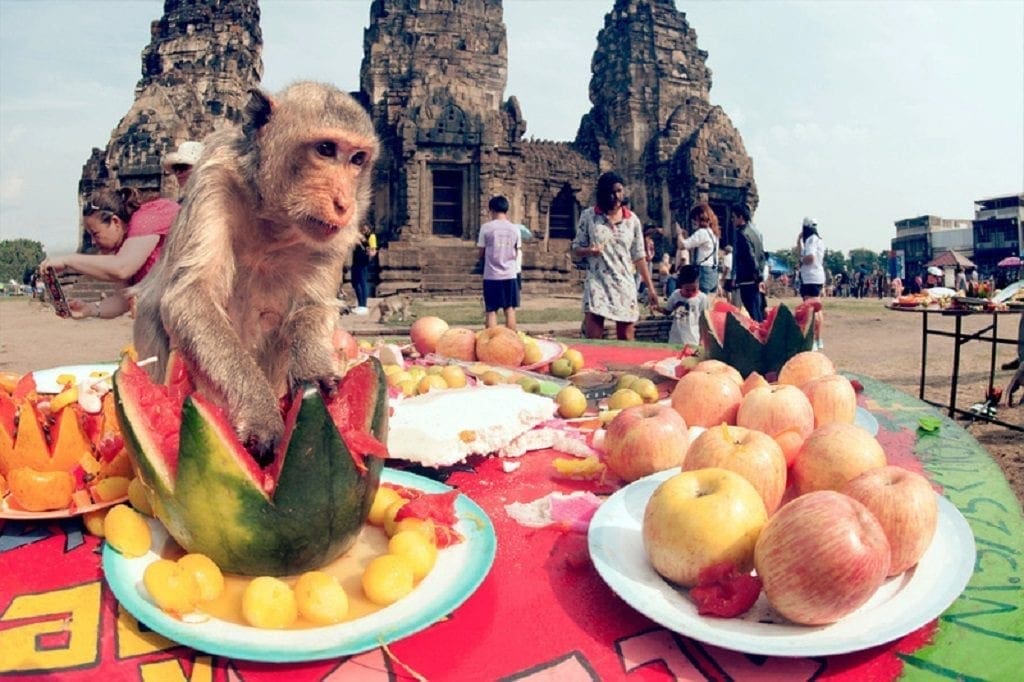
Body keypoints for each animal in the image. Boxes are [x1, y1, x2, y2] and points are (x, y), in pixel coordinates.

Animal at [132, 80, 380, 462]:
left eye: (357, 159)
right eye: (325, 149)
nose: (343, 203)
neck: (274, 218)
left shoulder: (344, 227)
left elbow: (314, 305)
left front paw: (313, 372)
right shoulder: (214, 177)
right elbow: (191, 295)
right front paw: (259, 411)